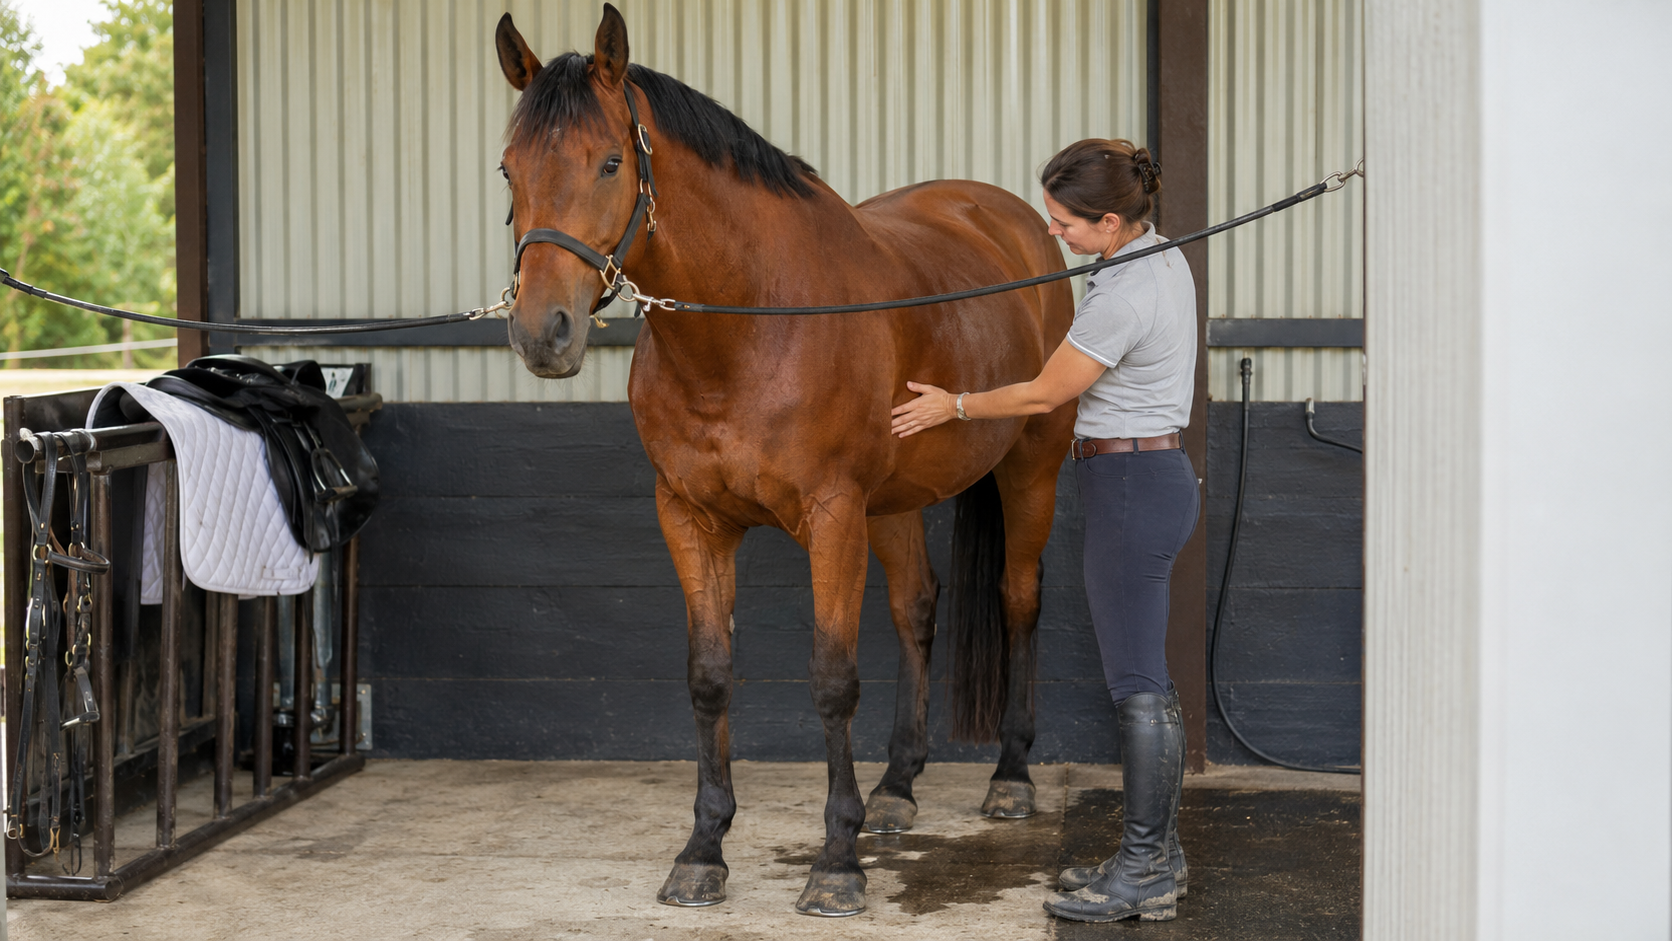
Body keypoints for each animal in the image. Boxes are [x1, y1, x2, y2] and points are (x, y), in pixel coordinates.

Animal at [495, 4, 1075, 916]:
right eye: (508, 170)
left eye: (611, 161)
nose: (542, 333)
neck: (754, 323)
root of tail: (1011, 221)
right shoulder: (691, 518)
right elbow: (709, 675)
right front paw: (703, 848)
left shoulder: (832, 515)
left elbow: (832, 678)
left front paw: (836, 862)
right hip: (896, 499)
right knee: (917, 607)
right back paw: (899, 787)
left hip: (1030, 467)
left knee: (1019, 599)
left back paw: (1011, 775)